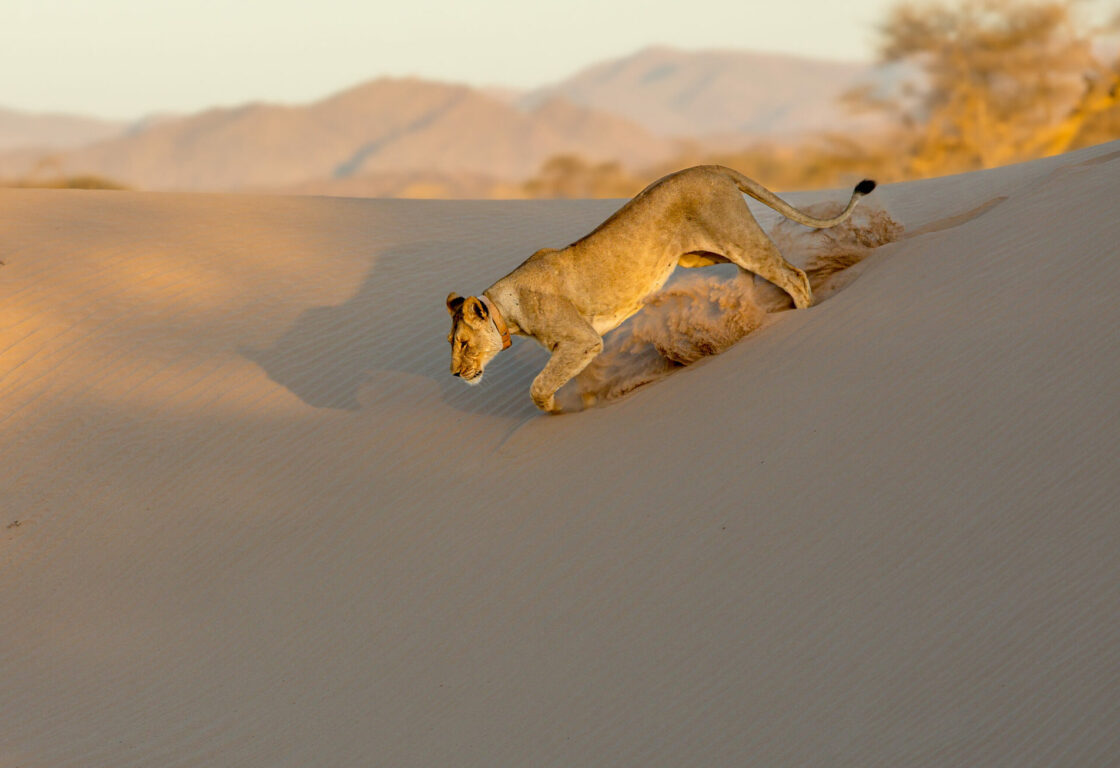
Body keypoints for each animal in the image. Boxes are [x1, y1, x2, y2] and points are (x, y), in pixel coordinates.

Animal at [446, 165, 876, 412]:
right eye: (452, 343)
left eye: (464, 343)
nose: (453, 374)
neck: (506, 307)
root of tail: (710, 167)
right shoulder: (580, 344)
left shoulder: (581, 340)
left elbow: (539, 385)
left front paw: (556, 409)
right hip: (700, 254)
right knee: (753, 274)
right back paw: (741, 312)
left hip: (736, 237)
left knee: (792, 275)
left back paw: (800, 313)